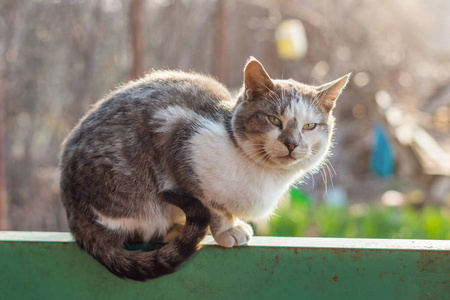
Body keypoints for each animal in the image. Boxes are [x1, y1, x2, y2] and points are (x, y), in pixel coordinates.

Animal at [59, 56, 350, 282]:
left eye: (309, 126)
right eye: (274, 120)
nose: (291, 144)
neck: (265, 175)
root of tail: (76, 219)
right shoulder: (178, 135)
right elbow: (213, 207)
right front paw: (228, 230)